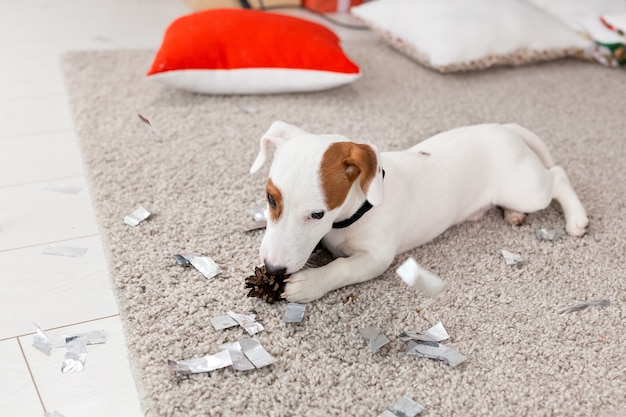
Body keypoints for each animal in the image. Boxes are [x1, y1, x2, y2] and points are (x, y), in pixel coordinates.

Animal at [247, 120, 584, 302]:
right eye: (271, 199)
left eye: (317, 214)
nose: (273, 270)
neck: (355, 214)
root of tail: (506, 129)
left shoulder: (376, 259)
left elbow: (341, 268)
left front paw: (310, 282)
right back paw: (513, 214)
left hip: (525, 188)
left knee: (557, 177)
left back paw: (577, 218)